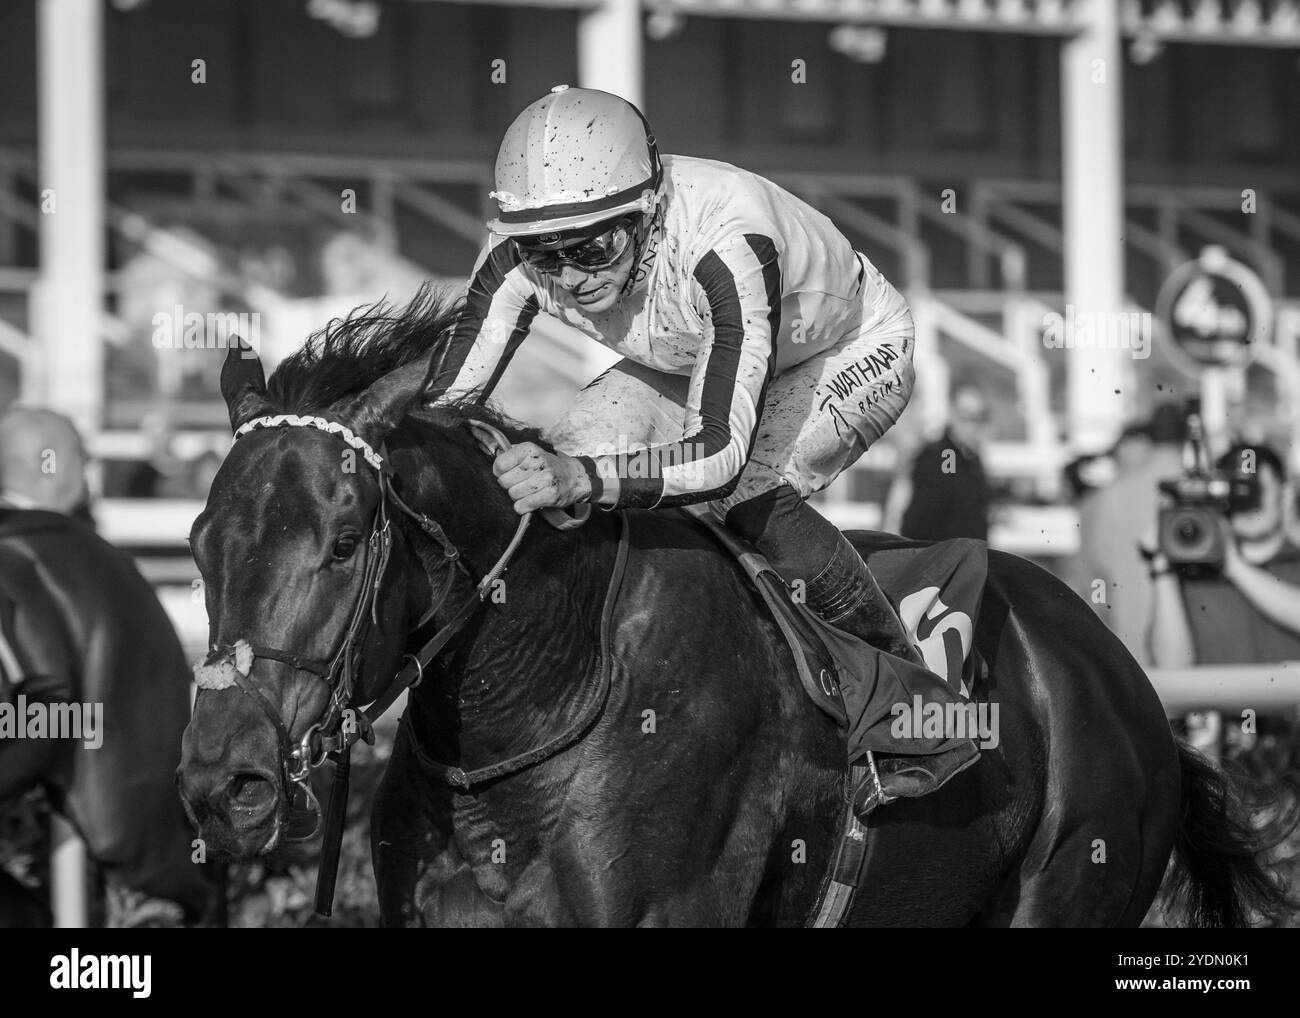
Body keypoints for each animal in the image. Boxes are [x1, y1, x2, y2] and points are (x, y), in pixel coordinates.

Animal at [180, 291, 1289, 925]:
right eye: (197, 547)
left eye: (341, 543)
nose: (223, 783)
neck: (548, 687)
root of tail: (1117, 668)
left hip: (1070, 879)